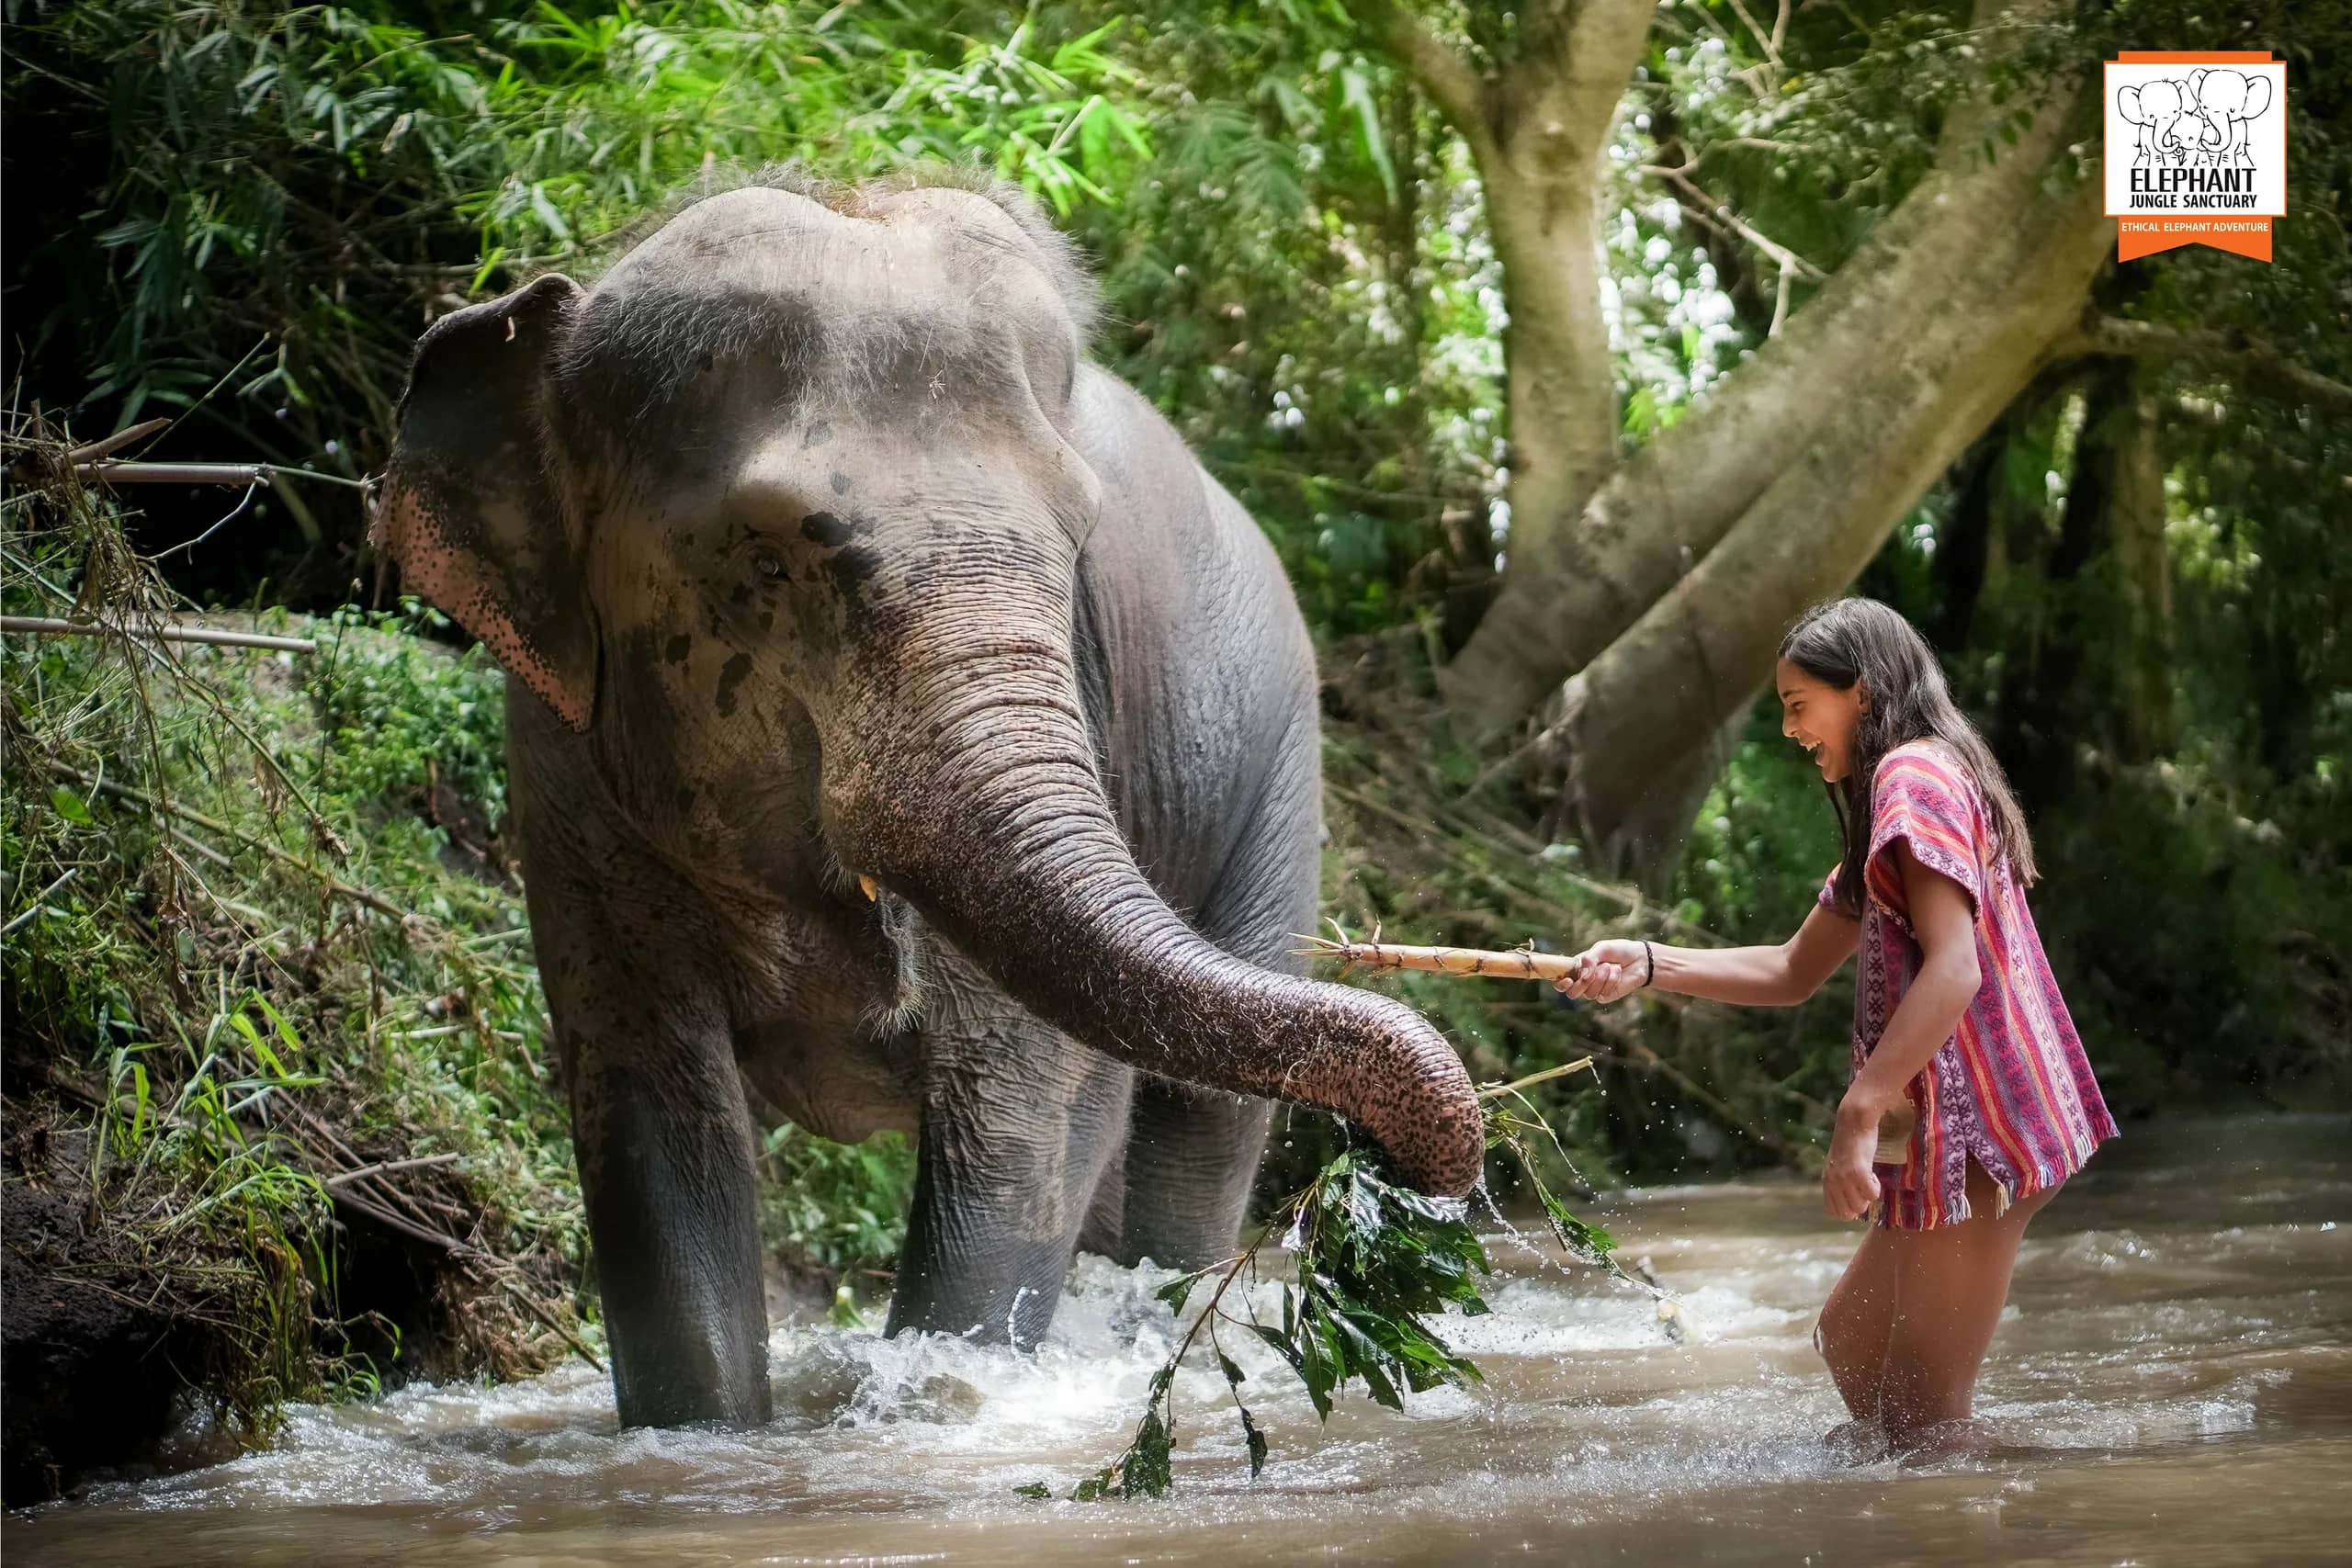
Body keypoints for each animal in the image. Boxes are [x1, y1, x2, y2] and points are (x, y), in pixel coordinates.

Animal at [372, 169, 1485, 1430]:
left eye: (1078, 541)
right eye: (764, 563)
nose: (1413, 1179)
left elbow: (1016, 1126)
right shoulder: (561, 757)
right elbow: (649, 1120)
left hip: (1275, 774)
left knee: (1194, 1136)